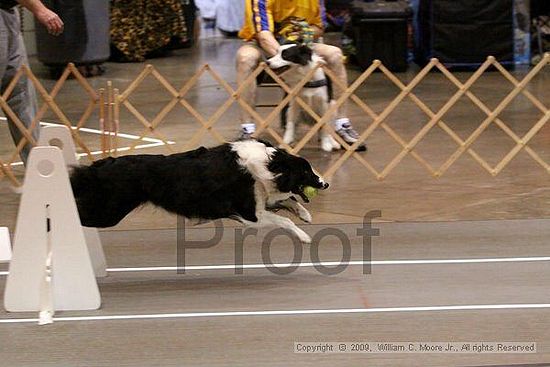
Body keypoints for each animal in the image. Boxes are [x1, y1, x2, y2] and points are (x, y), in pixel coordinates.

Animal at [69, 141, 328, 244]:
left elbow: (287, 201)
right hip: (108, 212)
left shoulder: (258, 204)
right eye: (306, 171)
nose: (325, 184)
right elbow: (284, 220)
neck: (268, 164)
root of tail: (101, 165)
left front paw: (305, 215)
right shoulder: (250, 215)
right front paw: (304, 236)